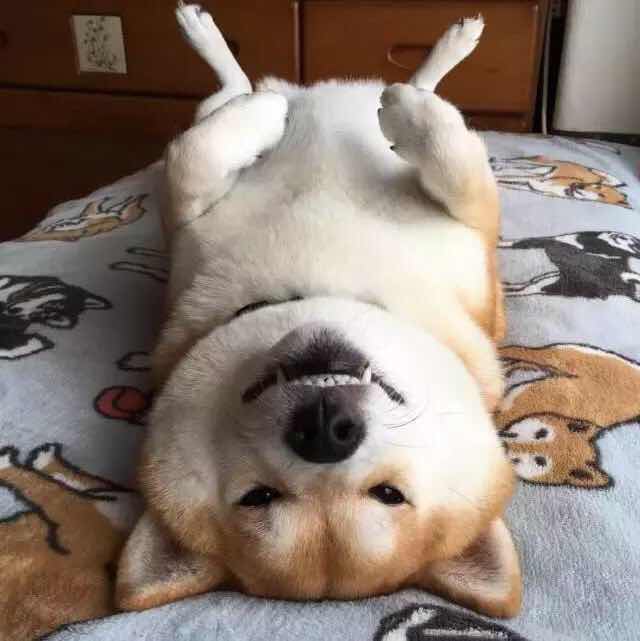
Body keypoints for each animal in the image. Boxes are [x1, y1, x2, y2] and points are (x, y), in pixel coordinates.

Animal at [116, 5, 520, 619]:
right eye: (258, 496)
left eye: (389, 494)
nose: (327, 432)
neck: (323, 283)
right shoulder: (185, 222)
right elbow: (193, 158)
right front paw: (262, 114)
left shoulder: (475, 226)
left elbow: (453, 161)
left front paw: (411, 116)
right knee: (227, 96)